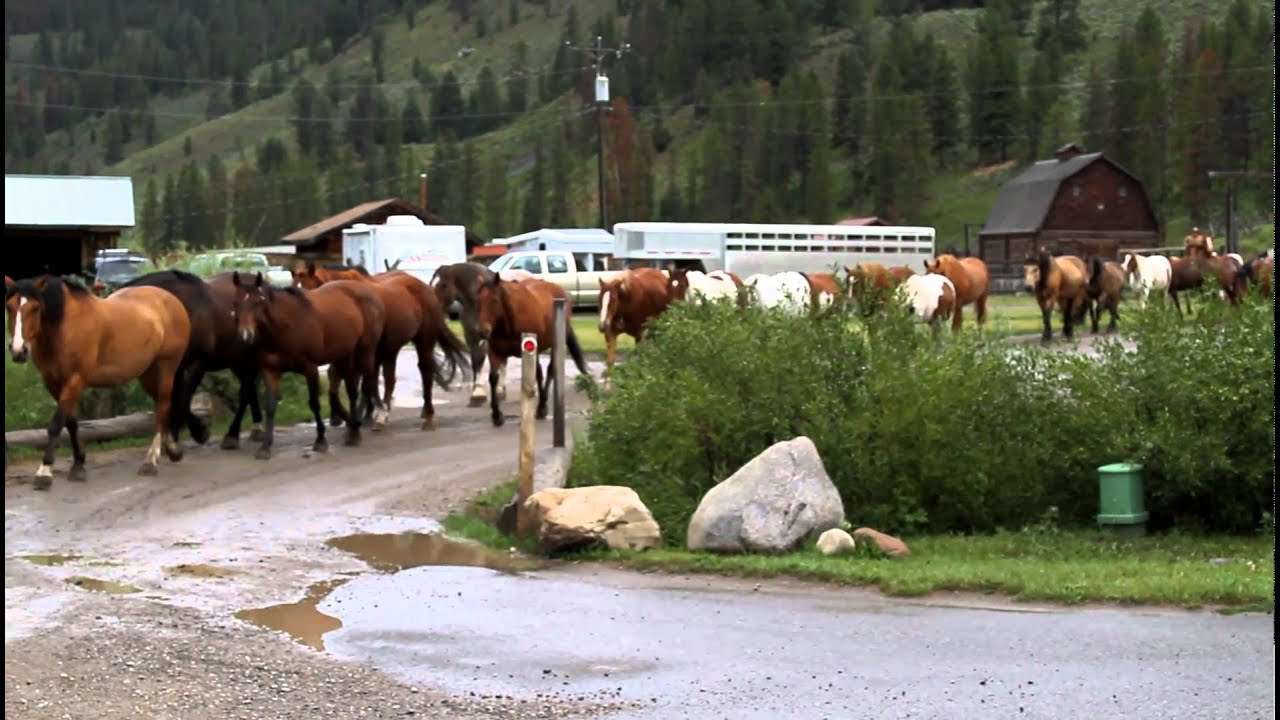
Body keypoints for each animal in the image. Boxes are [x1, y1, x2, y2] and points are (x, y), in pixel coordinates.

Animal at [6, 275, 191, 487]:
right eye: (9, 306)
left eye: (35, 307)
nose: (18, 350)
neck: (65, 327)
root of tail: (172, 300)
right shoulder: (52, 382)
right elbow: (71, 422)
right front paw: (78, 465)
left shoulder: (76, 378)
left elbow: (56, 423)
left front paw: (44, 472)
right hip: (147, 373)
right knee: (163, 406)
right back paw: (172, 450)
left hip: (166, 367)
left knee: (162, 407)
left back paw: (151, 461)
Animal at [230, 271, 385, 458]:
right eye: (235, 302)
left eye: (257, 303)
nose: (245, 336)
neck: (286, 326)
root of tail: (370, 292)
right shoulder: (270, 371)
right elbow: (270, 406)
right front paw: (265, 446)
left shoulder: (310, 368)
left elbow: (314, 403)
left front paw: (321, 441)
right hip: (344, 356)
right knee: (348, 389)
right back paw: (352, 425)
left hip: (365, 352)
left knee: (364, 385)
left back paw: (358, 428)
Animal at [293, 265, 470, 431]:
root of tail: (426, 288)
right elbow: (344, 378)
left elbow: (362, 382)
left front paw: (360, 415)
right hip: (391, 347)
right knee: (390, 379)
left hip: (423, 340)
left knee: (425, 370)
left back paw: (427, 417)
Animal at [472, 275, 591, 427]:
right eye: (477, 301)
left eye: (494, 300)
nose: (482, 331)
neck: (508, 321)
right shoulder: (495, 352)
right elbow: (493, 378)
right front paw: (497, 415)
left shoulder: (531, 349)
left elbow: (539, 374)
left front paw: (542, 407)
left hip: (554, 345)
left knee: (550, 370)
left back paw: (542, 404)